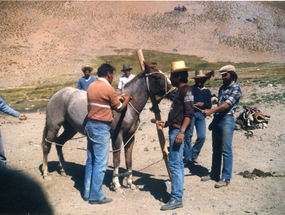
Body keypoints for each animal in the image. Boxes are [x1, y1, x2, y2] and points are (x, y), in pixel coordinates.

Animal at [41, 61, 175, 191]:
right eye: (158, 77)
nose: (174, 92)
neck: (127, 108)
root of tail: (56, 95)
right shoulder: (117, 137)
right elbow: (117, 160)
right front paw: (116, 184)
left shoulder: (130, 137)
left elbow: (129, 160)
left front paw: (130, 184)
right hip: (53, 127)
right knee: (47, 146)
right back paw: (46, 173)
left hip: (70, 130)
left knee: (59, 143)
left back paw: (63, 170)